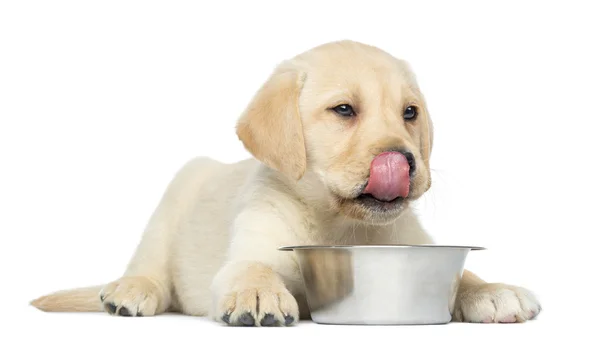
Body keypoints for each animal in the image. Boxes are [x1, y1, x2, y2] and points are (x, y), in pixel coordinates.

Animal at [30, 39, 540, 326]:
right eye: (344, 110)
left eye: (410, 113)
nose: (404, 161)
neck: (338, 223)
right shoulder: (249, 247)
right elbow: (252, 268)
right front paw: (258, 293)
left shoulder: (410, 240)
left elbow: (465, 274)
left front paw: (490, 289)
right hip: (178, 191)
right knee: (150, 265)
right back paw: (130, 291)